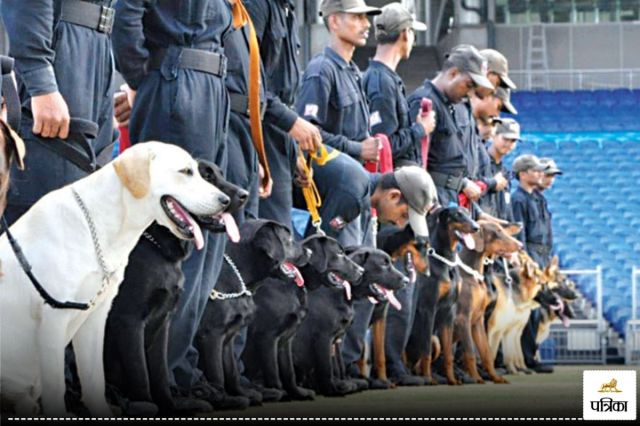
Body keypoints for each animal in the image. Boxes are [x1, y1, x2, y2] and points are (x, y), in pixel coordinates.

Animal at [0, 141, 230, 414]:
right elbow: (59, 388)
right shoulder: (54, 320)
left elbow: (95, 381)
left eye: (199, 171)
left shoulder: (95, 317)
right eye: (186, 172)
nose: (225, 200)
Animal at [102, 158, 248, 414]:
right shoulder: (130, 320)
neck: (159, 249)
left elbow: (159, 373)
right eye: (206, 176)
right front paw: (145, 405)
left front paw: (170, 406)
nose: (243, 195)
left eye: (219, 173)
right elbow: (140, 373)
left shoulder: (163, 321)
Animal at [194, 218, 312, 408]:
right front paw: (224, 399)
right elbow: (218, 373)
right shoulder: (212, 335)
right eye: (288, 240)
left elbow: (232, 371)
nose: (309, 252)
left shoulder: (229, 338)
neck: (239, 277)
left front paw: (242, 394)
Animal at [241, 235, 362, 402]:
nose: (361, 271)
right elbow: (324, 369)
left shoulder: (286, 338)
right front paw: (332, 390)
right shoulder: (268, 336)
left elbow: (288, 372)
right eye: (339, 253)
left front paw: (295, 393)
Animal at [292, 246, 408, 396]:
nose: (407, 280)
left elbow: (339, 365)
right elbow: (326, 367)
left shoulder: (337, 339)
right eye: (383, 264)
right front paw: (332, 388)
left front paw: (344, 382)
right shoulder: (323, 336)